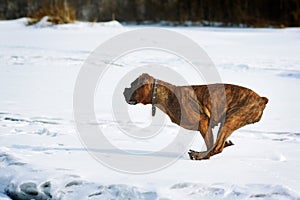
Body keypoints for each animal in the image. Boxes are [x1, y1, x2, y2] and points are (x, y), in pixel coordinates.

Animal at [123, 74, 268, 161]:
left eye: (132, 85)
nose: (124, 89)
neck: (165, 94)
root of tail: (261, 99)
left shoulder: (203, 121)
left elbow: (210, 142)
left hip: (230, 119)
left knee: (217, 147)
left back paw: (198, 155)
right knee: (218, 146)